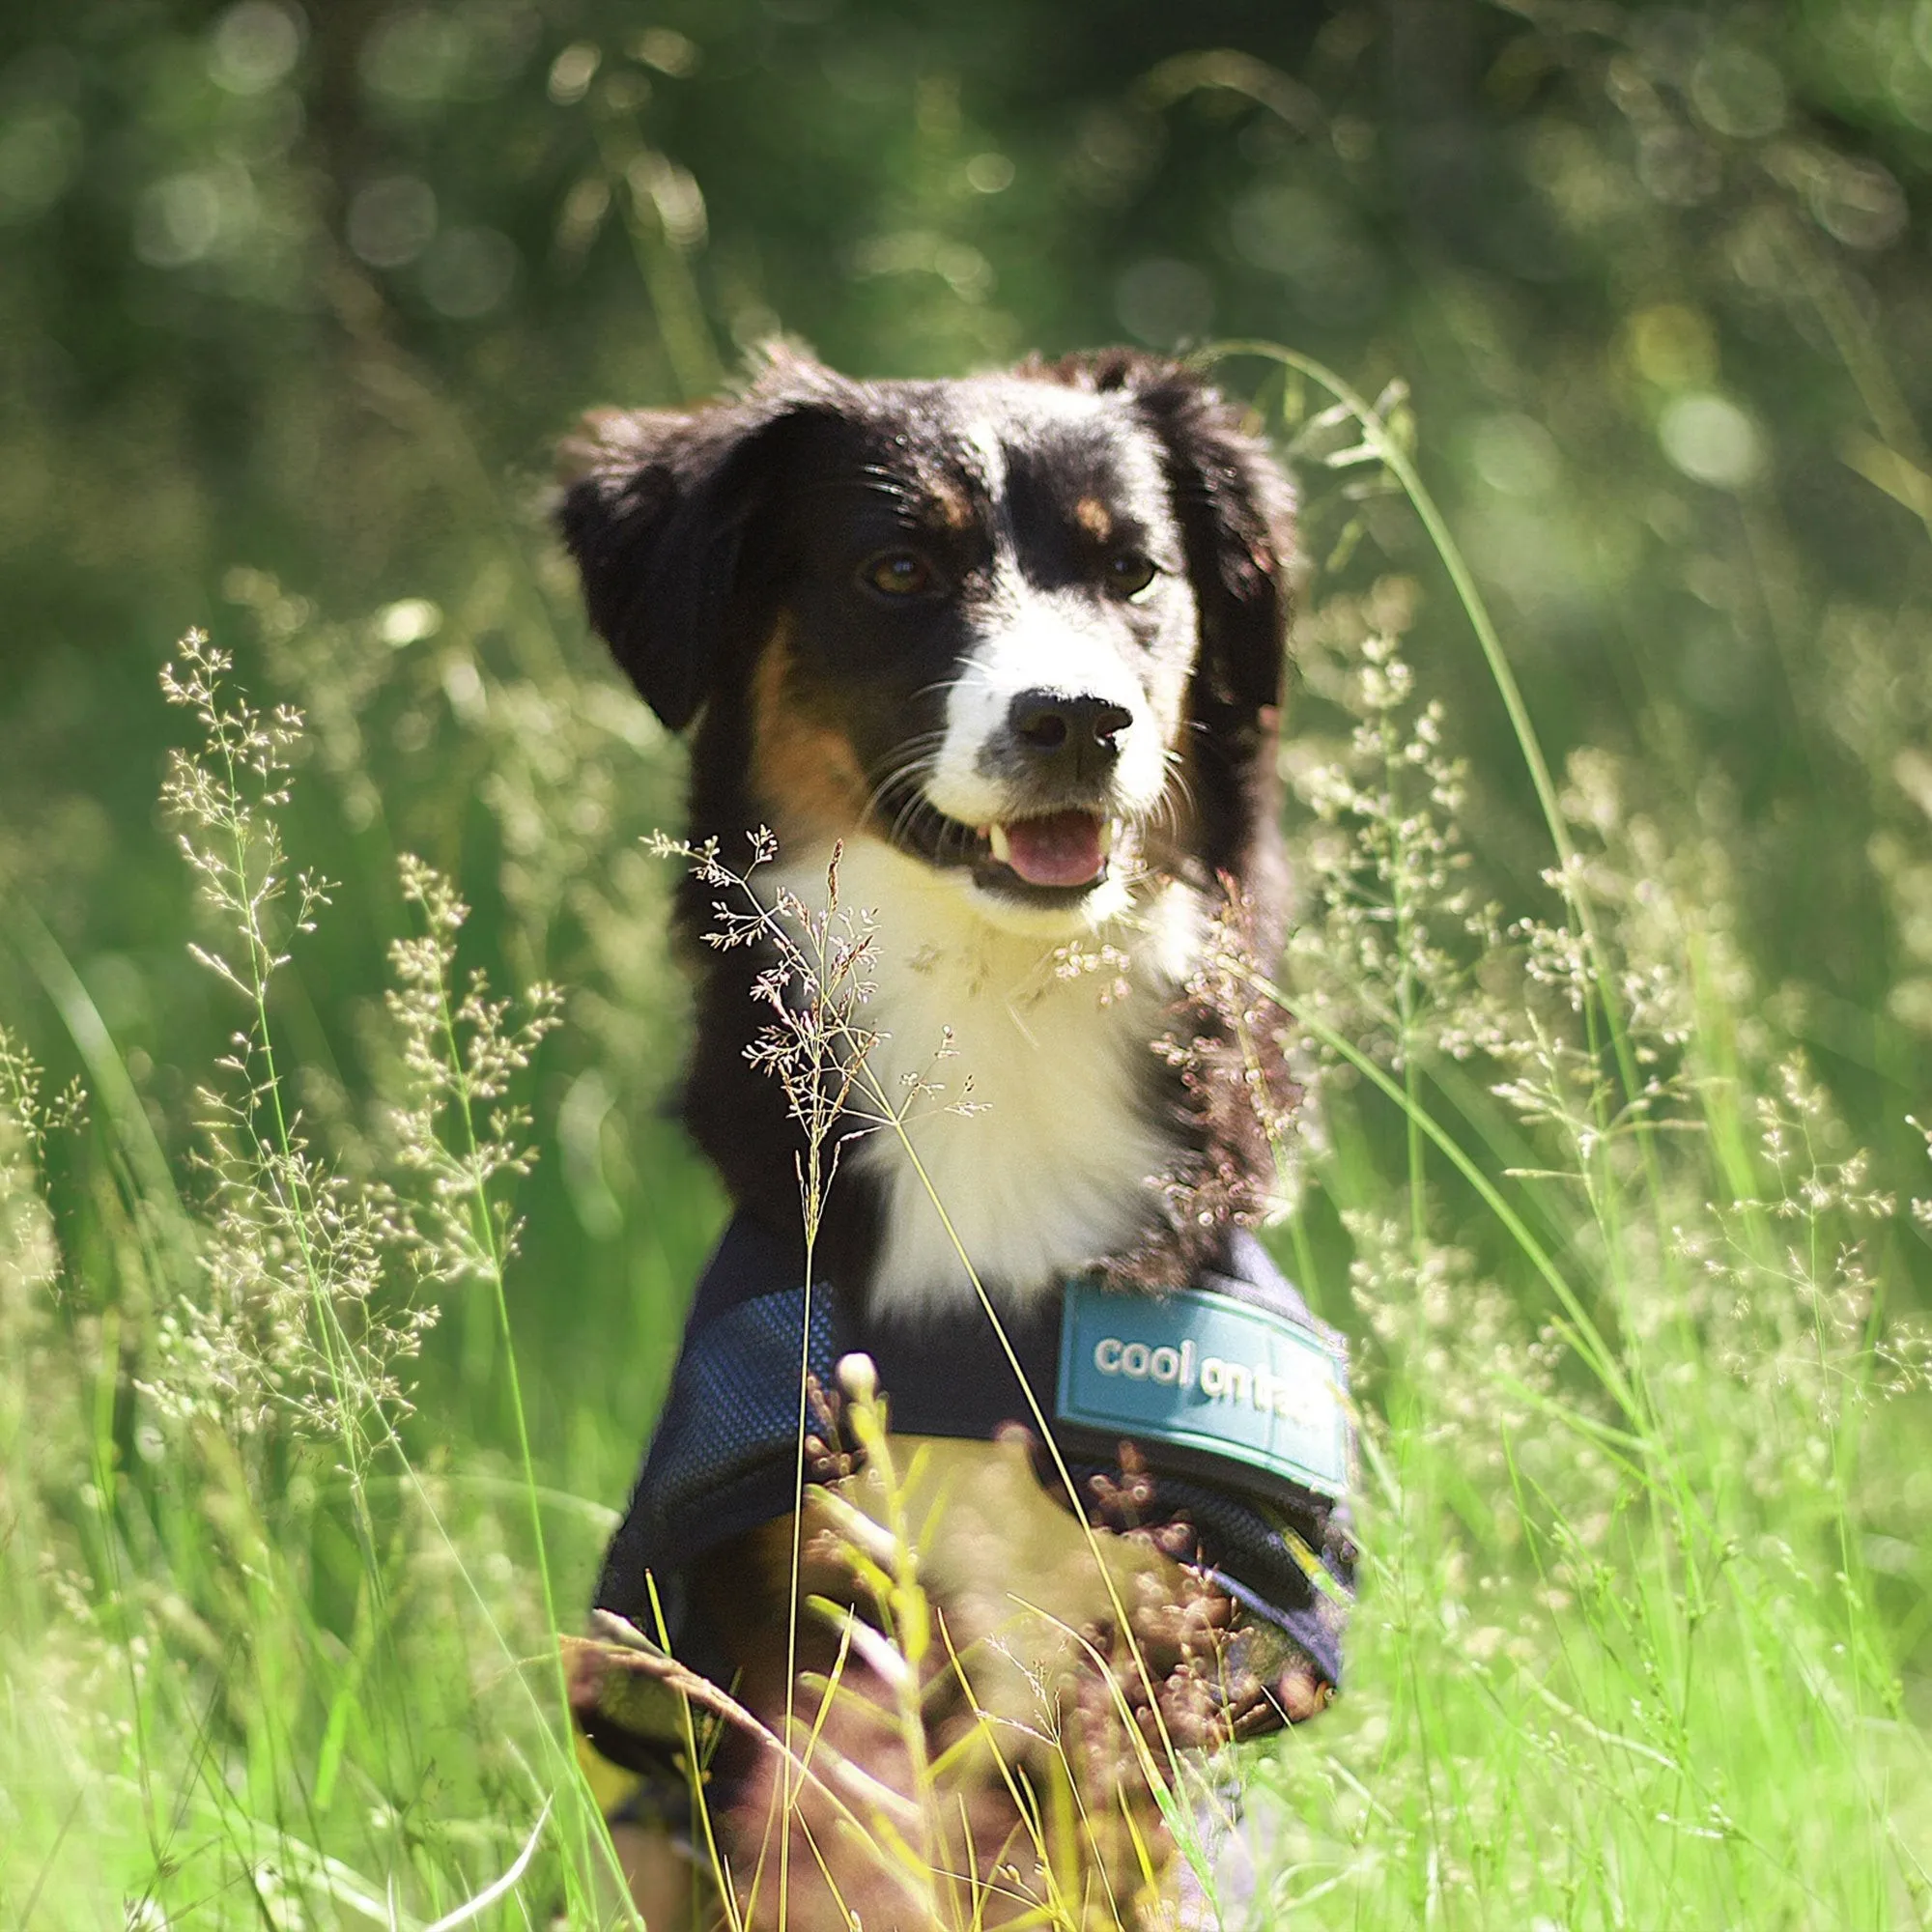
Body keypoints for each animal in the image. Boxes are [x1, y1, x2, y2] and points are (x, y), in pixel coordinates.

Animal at [553, 352, 1352, 1932]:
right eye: (899, 569)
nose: (1078, 719)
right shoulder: (796, 1606)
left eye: (1134, 572)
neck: (999, 1011)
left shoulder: (1156, 1622)